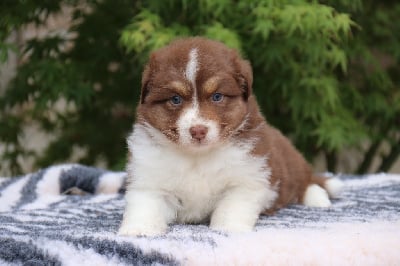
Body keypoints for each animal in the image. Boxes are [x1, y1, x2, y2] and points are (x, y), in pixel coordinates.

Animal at [118, 36, 340, 236]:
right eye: (175, 99)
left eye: (217, 96)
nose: (198, 130)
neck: (197, 156)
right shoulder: (149, 178)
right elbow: (145, 205)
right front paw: (139, 229)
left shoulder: (247, 177)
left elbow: (231, 207)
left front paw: (228, 228)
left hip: (291, 161)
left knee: (306, 181)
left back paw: (318, 198)